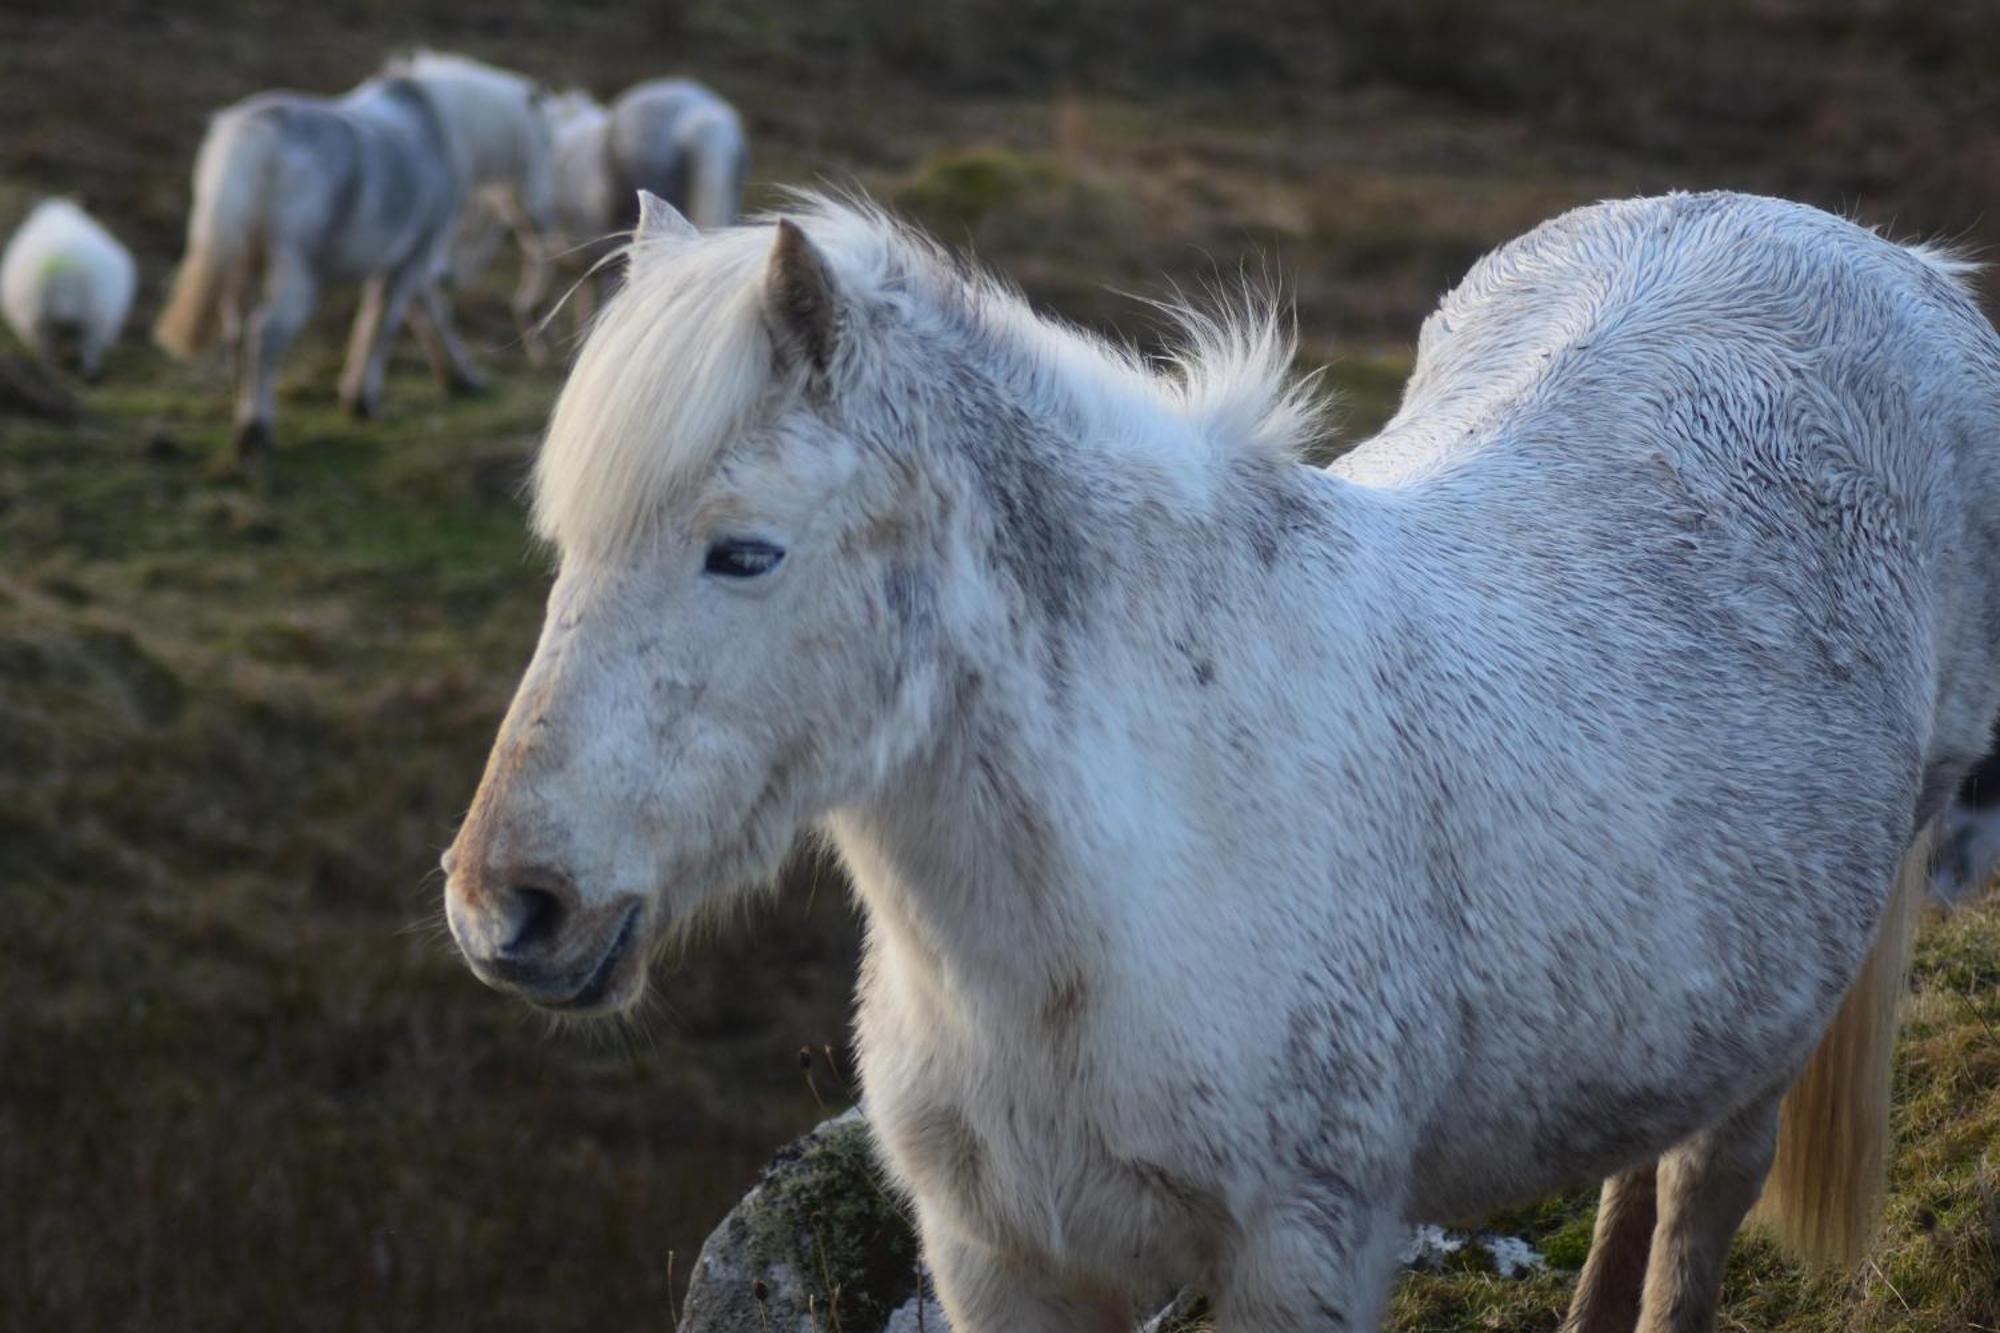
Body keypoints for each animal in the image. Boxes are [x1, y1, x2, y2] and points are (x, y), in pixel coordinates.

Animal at [154, 52, 556, 454]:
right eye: (547, 143)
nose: (541, 222)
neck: (437, 126)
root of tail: (260, 130)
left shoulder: (409, 262)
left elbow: (427, 315)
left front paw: (460, 378)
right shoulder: (412, 257)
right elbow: (384, 323)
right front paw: (362, 400)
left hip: (245, 267)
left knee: (237, 334)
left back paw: (245, 413)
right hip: (295, 274)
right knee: (265, 336)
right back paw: (256, 428)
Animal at [438, 189, 2000, 1328]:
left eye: (744, 553)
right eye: (566, 547)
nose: (503, 905)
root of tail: (1894, 263)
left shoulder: (1296, 1252)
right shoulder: (1001, 1265)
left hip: (1794, 1003)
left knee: (1695, 1200)